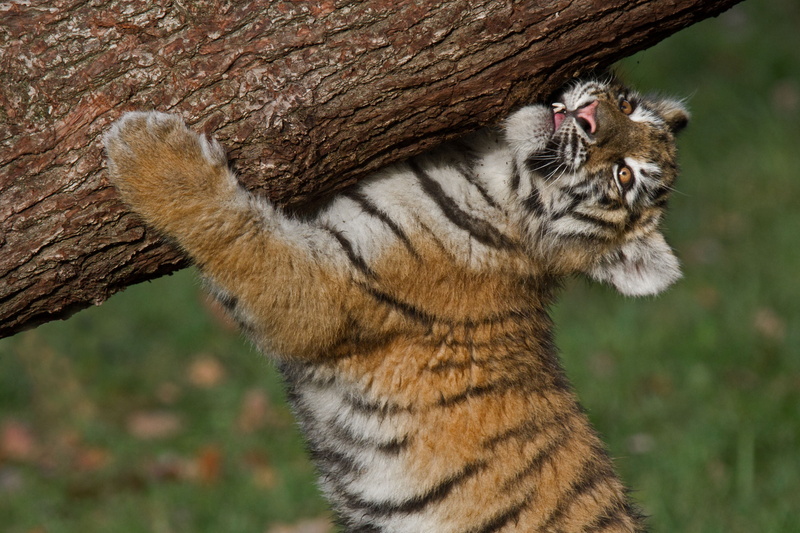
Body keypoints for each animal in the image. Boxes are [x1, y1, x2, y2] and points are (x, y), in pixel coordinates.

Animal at [104, 77, 689, 532]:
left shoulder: (323, 292)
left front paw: (146, 149)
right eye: (626, 106)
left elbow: (233, 230)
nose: (590, 117)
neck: (491, 174)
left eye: (624, 176)